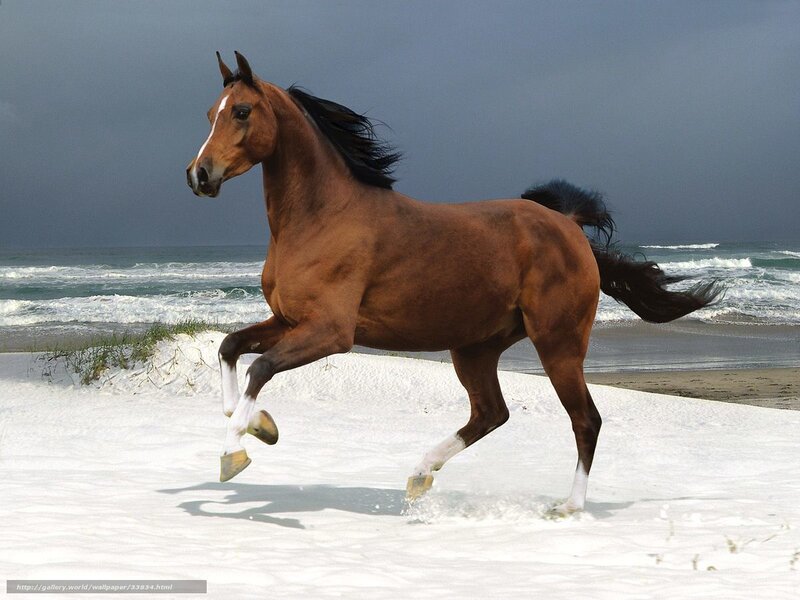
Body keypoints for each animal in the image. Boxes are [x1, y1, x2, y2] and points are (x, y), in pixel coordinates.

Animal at [186, 52, 719, 514]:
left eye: (241, 111)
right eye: (210, 113)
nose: (199, 175)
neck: (321, 217)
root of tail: (567, 225)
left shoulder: (331, 332)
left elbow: (260, 368)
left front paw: (235, 452)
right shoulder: (288, 319)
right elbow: (231, 348)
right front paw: (260, 426)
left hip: (558, 344)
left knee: (585, 419)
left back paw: (568, 507)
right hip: (475, 348)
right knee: (492, 413)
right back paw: (420, 474)